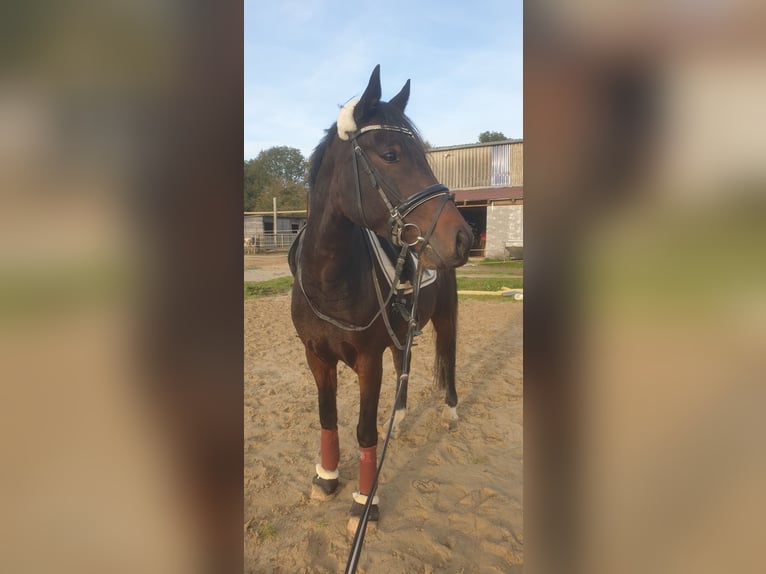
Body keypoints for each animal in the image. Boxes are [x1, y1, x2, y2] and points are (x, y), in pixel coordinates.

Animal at [290, 66, 474, 532]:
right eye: (391, 154)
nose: (463, 237)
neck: (329, 278)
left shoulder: (366, 361)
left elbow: (365, 430)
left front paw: (364, 502)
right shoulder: (317, 357)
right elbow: (328, 418)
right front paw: (327, 478)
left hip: (446, 320)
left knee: (449, 360)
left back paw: (449, 414)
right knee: (403, 370)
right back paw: (402, 418)